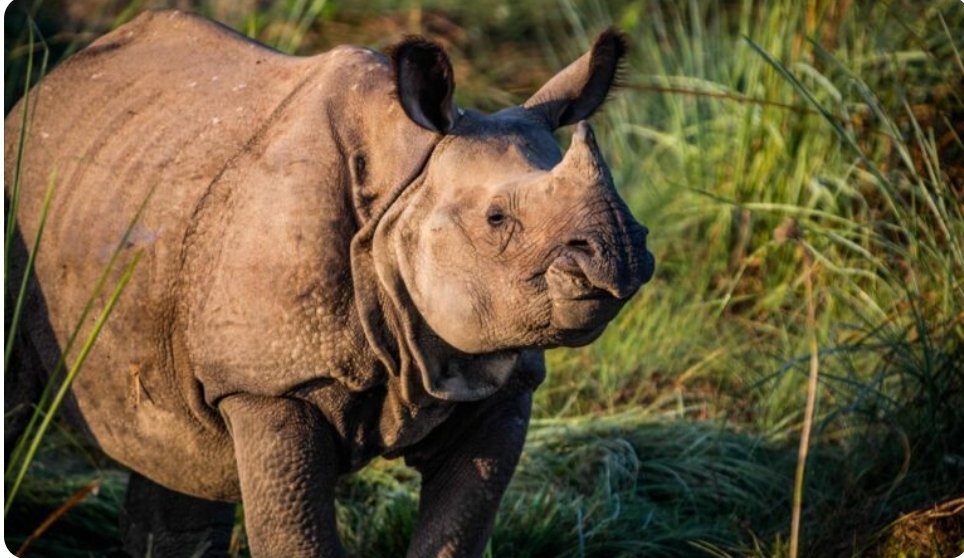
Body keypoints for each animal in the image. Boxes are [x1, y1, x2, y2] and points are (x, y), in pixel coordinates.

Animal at [5, 10, 655, 557]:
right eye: (497, 219)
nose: (620, 252)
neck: (402, 188)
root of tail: (51, 84)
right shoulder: (270, 383)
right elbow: (298, 539)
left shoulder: (497, 384)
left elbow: (454, 535)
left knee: (178, 453)